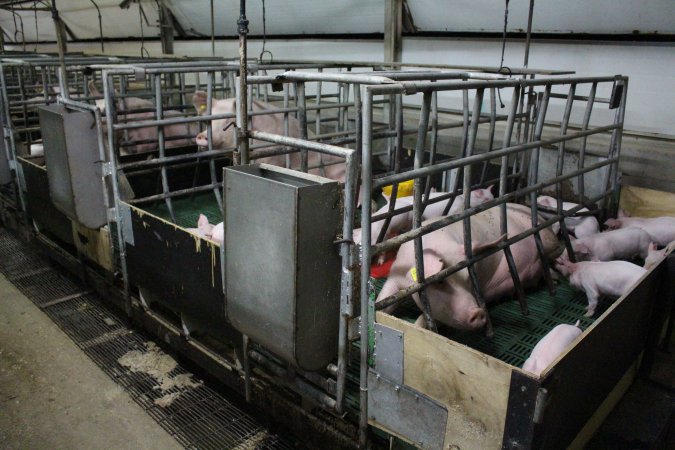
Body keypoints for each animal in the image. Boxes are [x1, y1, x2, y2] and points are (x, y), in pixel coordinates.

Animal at [374, 204, 560, 330]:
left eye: (469, 279)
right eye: (440, 281)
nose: (478, 312)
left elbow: (424, 322)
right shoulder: (395, 276)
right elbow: (384, 299)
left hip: (547, 239)